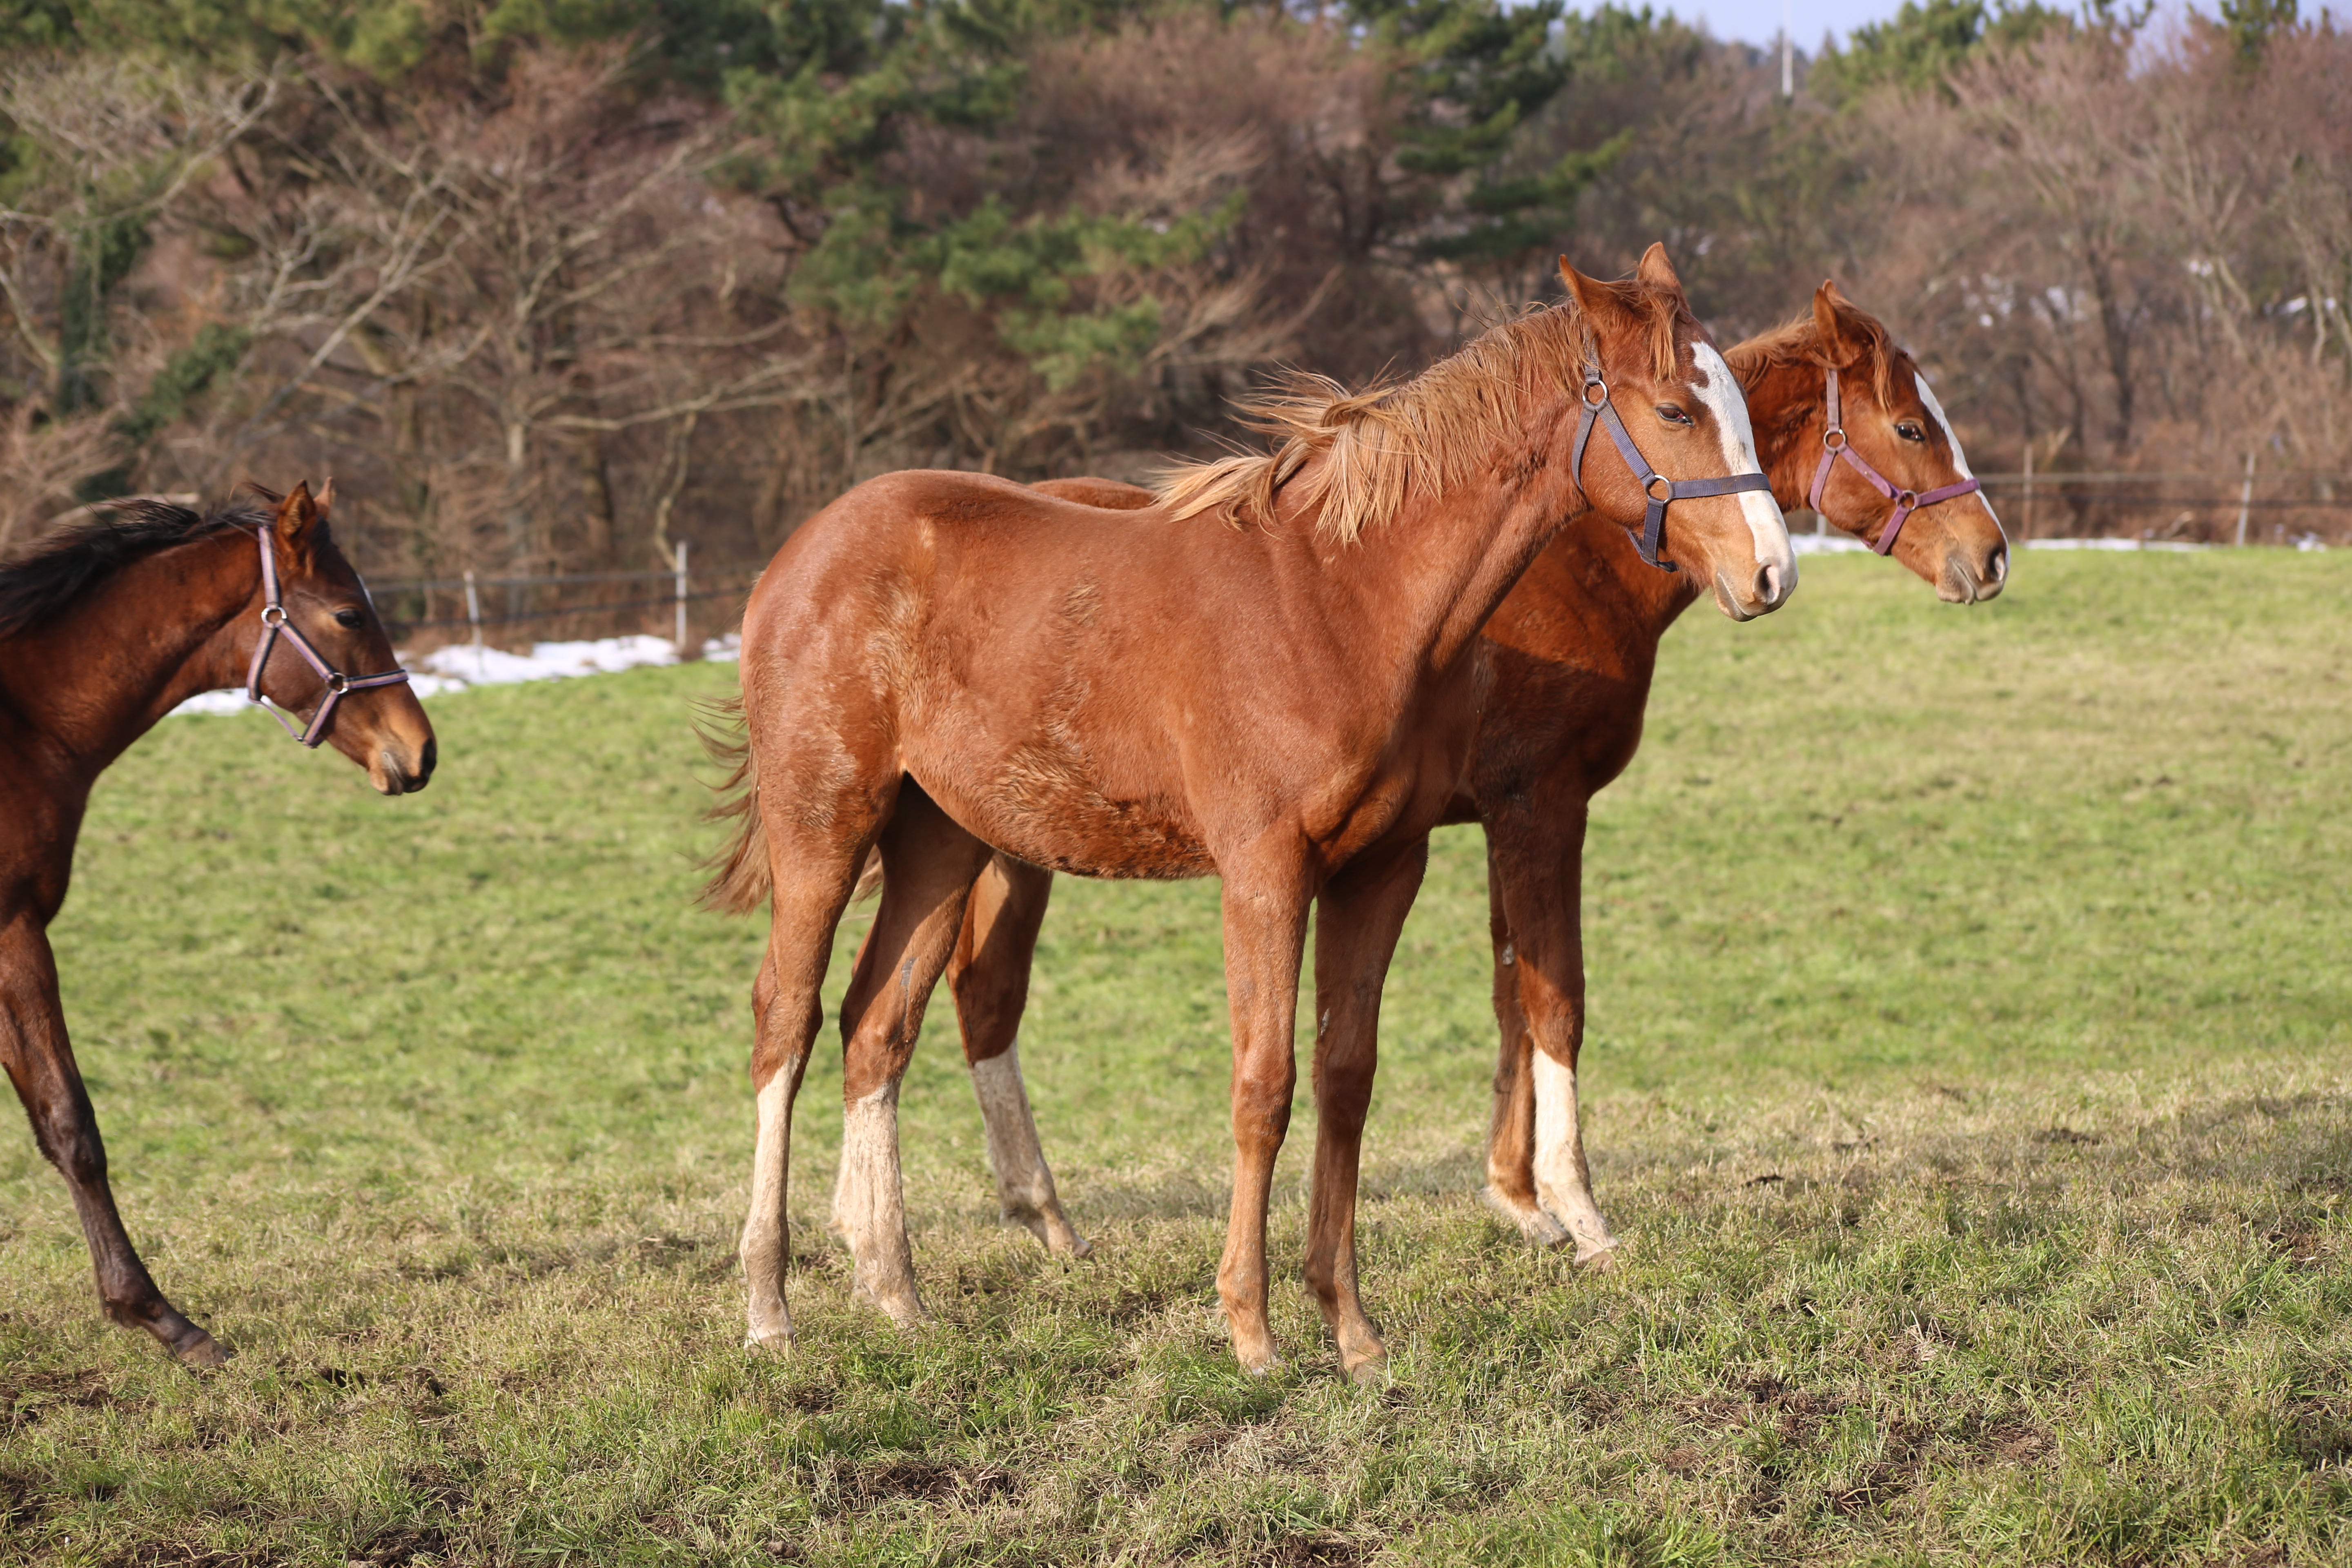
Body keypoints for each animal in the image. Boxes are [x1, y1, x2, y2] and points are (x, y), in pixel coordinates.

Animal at [1, 482, 437, 1363]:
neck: (19, 722)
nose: (422, 751)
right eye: (349, 614)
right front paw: (159, 1317)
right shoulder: (16, 933)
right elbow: (71, 1124)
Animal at [706, 248, 1787, 1373]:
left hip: (940, 841)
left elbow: (1346, 1077)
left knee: (878, 1027)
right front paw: (1252, 1329)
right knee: (786, 1019)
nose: (1770, 571)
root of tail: (801, 552)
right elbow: (1263, 1086)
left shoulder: (1382, 868)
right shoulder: (1267, 871)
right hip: (825, 825)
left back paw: (895, 1293)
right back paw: (768, 1304)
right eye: (1672, 408)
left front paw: (1350, 1327)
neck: (1344, 600)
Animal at [861, 282, 2004, 1278]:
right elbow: (1551, 996)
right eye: (1910, 427)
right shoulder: (1537, 808)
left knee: (956, 995)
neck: (1561, 564)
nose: (1990, 557)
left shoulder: (1497, 821)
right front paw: (1567, 1210)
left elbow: (1509, 992)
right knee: (971, 995)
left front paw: (1517, 1196)